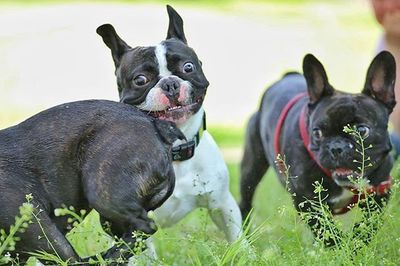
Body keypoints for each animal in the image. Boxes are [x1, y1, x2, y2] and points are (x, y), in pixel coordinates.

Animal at [0, 100, 184, 262]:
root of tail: (154, 124)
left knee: (145, 226)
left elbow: (66, 258)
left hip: (104, 196)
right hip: (112, 219)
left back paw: (106, 258)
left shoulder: (37, 229)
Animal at [239, 51, 396, 246]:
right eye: (317, 132)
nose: (336, 147)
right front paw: (340, 248)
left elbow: (367, 225)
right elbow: (328, 231)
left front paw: (355, 245)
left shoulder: (379, 194)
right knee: (245, 201)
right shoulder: (308, 201)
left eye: (362, 130)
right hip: (251, 168)